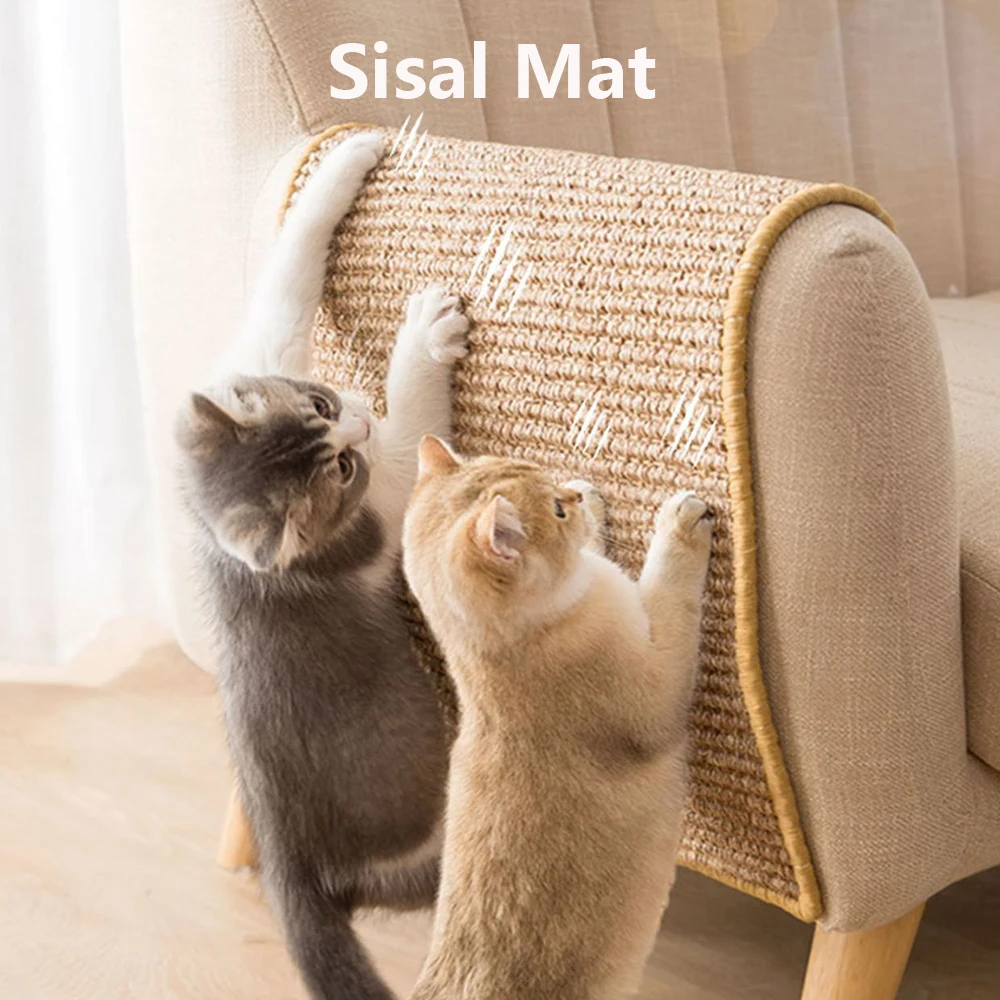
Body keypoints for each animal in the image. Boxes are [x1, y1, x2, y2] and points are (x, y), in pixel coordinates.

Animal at [175, 131, 467, 1000]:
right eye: (338, 469)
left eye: (319, 405)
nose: (357, 418)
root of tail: (290, 875)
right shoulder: (384, 502)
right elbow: (413, 428)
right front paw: (424, 332)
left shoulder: (260, 349)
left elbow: (286, 282)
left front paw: (350, 158)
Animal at [402, 436, 712, 1000]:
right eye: (556, 511)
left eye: (551, 483)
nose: (572, 492)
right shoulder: (659, 690)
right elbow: (669, 587)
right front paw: (679, 520)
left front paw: (594, 498)